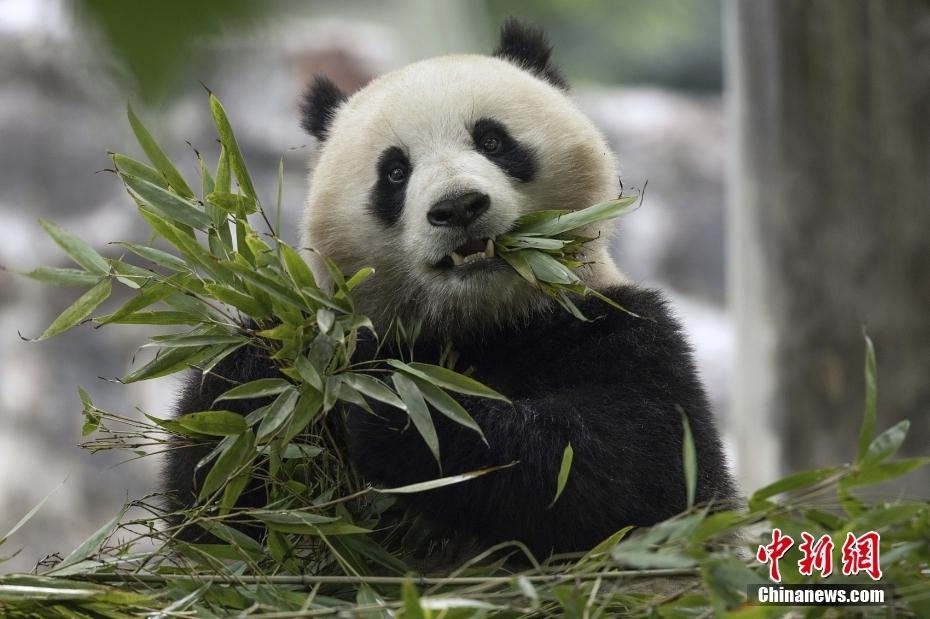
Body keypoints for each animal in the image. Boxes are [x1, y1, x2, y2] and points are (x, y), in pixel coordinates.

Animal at [163, 19, 736, 560]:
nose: (458, 206)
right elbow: (217, 508)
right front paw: (269, 369)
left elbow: (640, 470)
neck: (478, 320)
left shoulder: (616, 326)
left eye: (492, 141)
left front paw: (400, 412)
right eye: (395, 172)